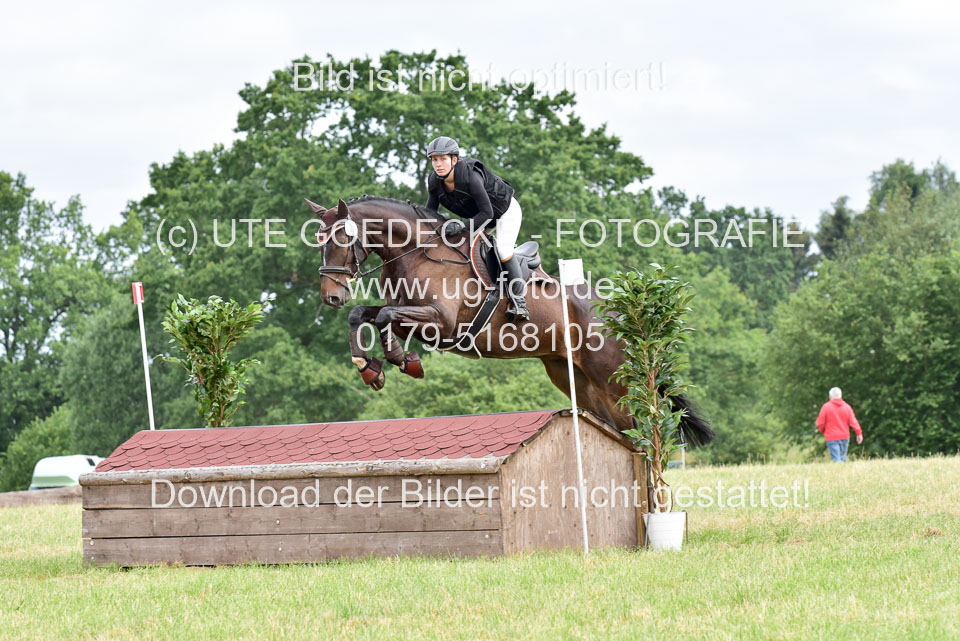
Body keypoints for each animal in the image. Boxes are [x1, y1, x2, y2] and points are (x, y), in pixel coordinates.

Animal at [306, 195, 714, 448]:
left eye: (340, 239)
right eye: (318, 240)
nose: (331, 296)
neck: (418, 253)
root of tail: (623, 316)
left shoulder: (442, 324)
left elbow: (385, 317)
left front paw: (400, 360)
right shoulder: (416, 318)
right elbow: (366, 315)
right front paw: (370, 369)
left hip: (612, 380)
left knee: (641, 430)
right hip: (573, 378)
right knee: (615, 430)